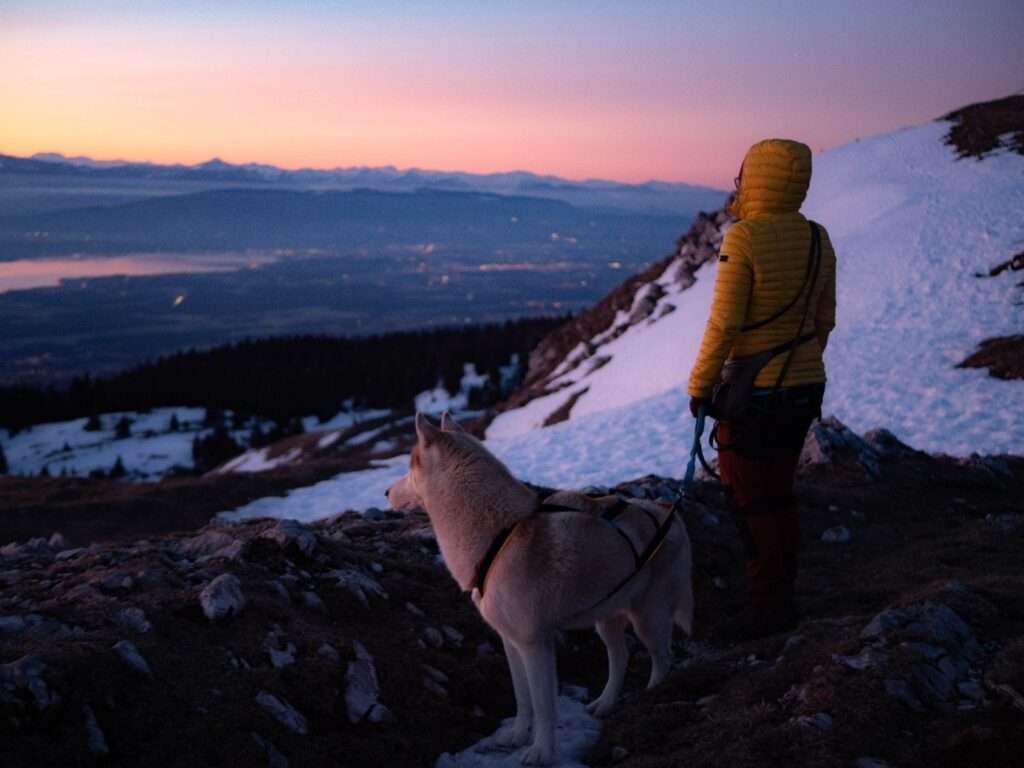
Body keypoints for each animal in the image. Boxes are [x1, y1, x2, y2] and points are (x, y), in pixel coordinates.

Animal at [385, 415, 696, 765]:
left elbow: (544, 706)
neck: (499, 535)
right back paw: (605, 703)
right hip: (606, 618)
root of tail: (666, 508)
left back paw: (655, 694)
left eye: (410, 466)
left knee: (662, 657)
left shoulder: (534, 644)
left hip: (648, 617)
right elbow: (523, 699)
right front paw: (518, 736)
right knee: (620, 656)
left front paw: (541, 751)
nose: (385, 491)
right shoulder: (511, 641)